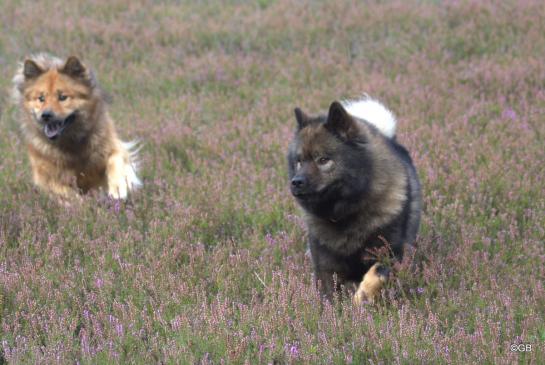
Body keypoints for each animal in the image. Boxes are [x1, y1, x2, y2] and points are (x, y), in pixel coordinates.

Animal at [11, 54, 140, 200]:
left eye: (62, 97)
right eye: (41, 98)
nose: (46, 115)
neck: (71, 143)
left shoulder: (114, 147)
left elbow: (114, 161)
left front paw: (117, 189)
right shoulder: (45, 177)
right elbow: (64, 190)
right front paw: (80, 202)